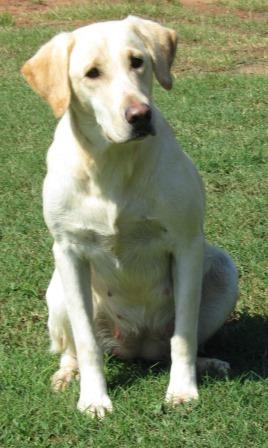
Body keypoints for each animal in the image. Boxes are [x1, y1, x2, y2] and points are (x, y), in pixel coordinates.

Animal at [22, 15, 238, 418]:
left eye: (137, 61)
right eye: (92, 73)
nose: (140, 115)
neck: (112, 163)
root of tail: (137, 347)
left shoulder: (187, 245)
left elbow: (184, 334)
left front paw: (182, 389)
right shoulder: (68, 251)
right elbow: (86, 343)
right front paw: (94, 398)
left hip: (223, 269)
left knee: (178, 342)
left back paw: (206, 364)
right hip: (57, 289)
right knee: (71, 348)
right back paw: (68, 374)